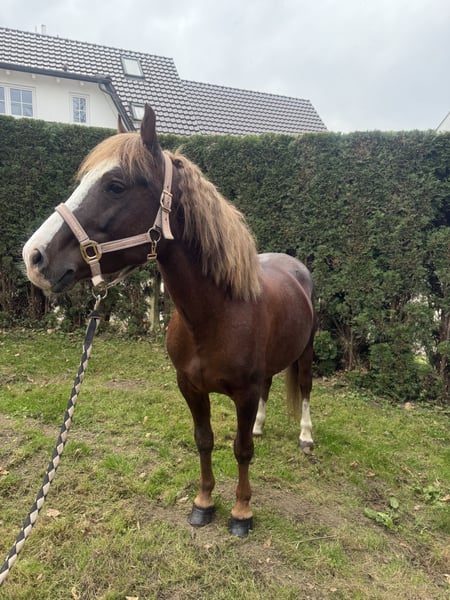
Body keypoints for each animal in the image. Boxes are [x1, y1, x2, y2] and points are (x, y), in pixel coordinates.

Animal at [22, 104, 317, 537]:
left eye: (115, 185)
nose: (34, 257)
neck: (214, 315)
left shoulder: (243, 393)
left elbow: (242, 450)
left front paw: (241, 512)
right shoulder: (190, 388)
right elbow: (204, 440)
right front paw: (204, 503)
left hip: (307, 353)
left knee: (306, 390)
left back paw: (306, 437)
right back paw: (262, 425)